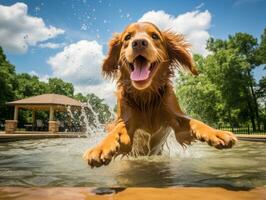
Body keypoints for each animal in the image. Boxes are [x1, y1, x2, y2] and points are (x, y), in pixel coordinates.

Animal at [83, 22, 237, 167]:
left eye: (155, 36)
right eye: (127, 37)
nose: (139, 43)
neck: (146, 97)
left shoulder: (178, 122)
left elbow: (196, 122)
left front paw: (217, 133)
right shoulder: (126, 123)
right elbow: (116, 130)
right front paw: (100, 148)